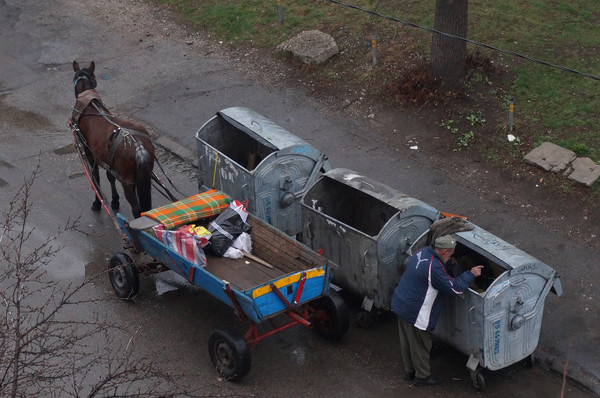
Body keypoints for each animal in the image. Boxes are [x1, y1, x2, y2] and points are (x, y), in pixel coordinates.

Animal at [71, 60, 155, 219]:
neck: (90, 106)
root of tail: (139, 147)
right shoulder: (108, 160)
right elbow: (110, 176)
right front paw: (115, 201)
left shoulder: (90, 154)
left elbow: (95, 178)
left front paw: (97, 203)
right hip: (143, 177)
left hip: (127, 183)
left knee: (137, 209)